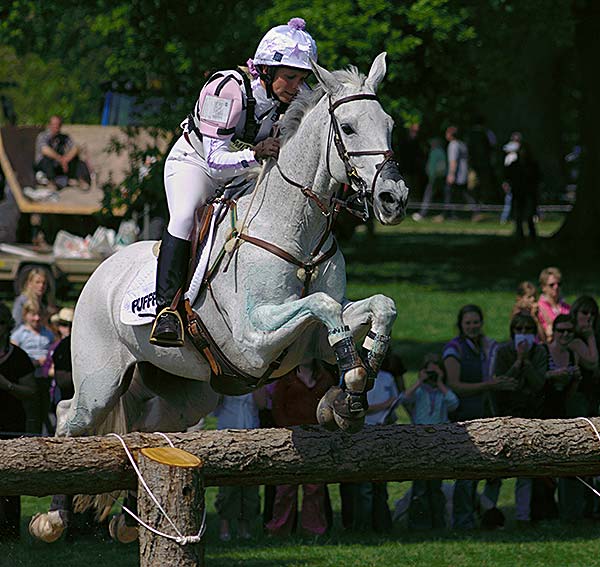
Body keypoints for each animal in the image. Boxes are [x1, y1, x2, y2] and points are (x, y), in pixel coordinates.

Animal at [31, 53, 408, 540]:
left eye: (390, 124)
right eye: (347, 127)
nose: (394, 199)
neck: (296, 233)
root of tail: (102, 271)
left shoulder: (312, 341)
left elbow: (378, 307)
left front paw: (348, 395)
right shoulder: (253, 341)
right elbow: (322, 307)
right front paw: (350, 390)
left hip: (184, 394)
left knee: (147, 429)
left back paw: (129, 518)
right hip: (100, 381)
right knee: (68, 416)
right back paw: (53, 517)